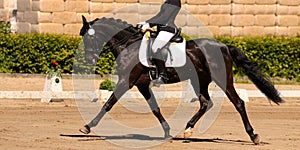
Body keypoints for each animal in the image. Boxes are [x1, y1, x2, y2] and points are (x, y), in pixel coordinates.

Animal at [78, 16, 282, 144]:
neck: (129, 45)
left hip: (222, 79)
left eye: (89, 38)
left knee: (238, 103)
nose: (88, 60)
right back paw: (188, 129)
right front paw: (167, 132)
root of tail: (224, 46)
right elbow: (155, 109)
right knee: (206, 102)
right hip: (199, 80)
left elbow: (109, 103)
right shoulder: (142, 84)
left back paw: (253, 135)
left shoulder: (127, 82)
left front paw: (87, 126)